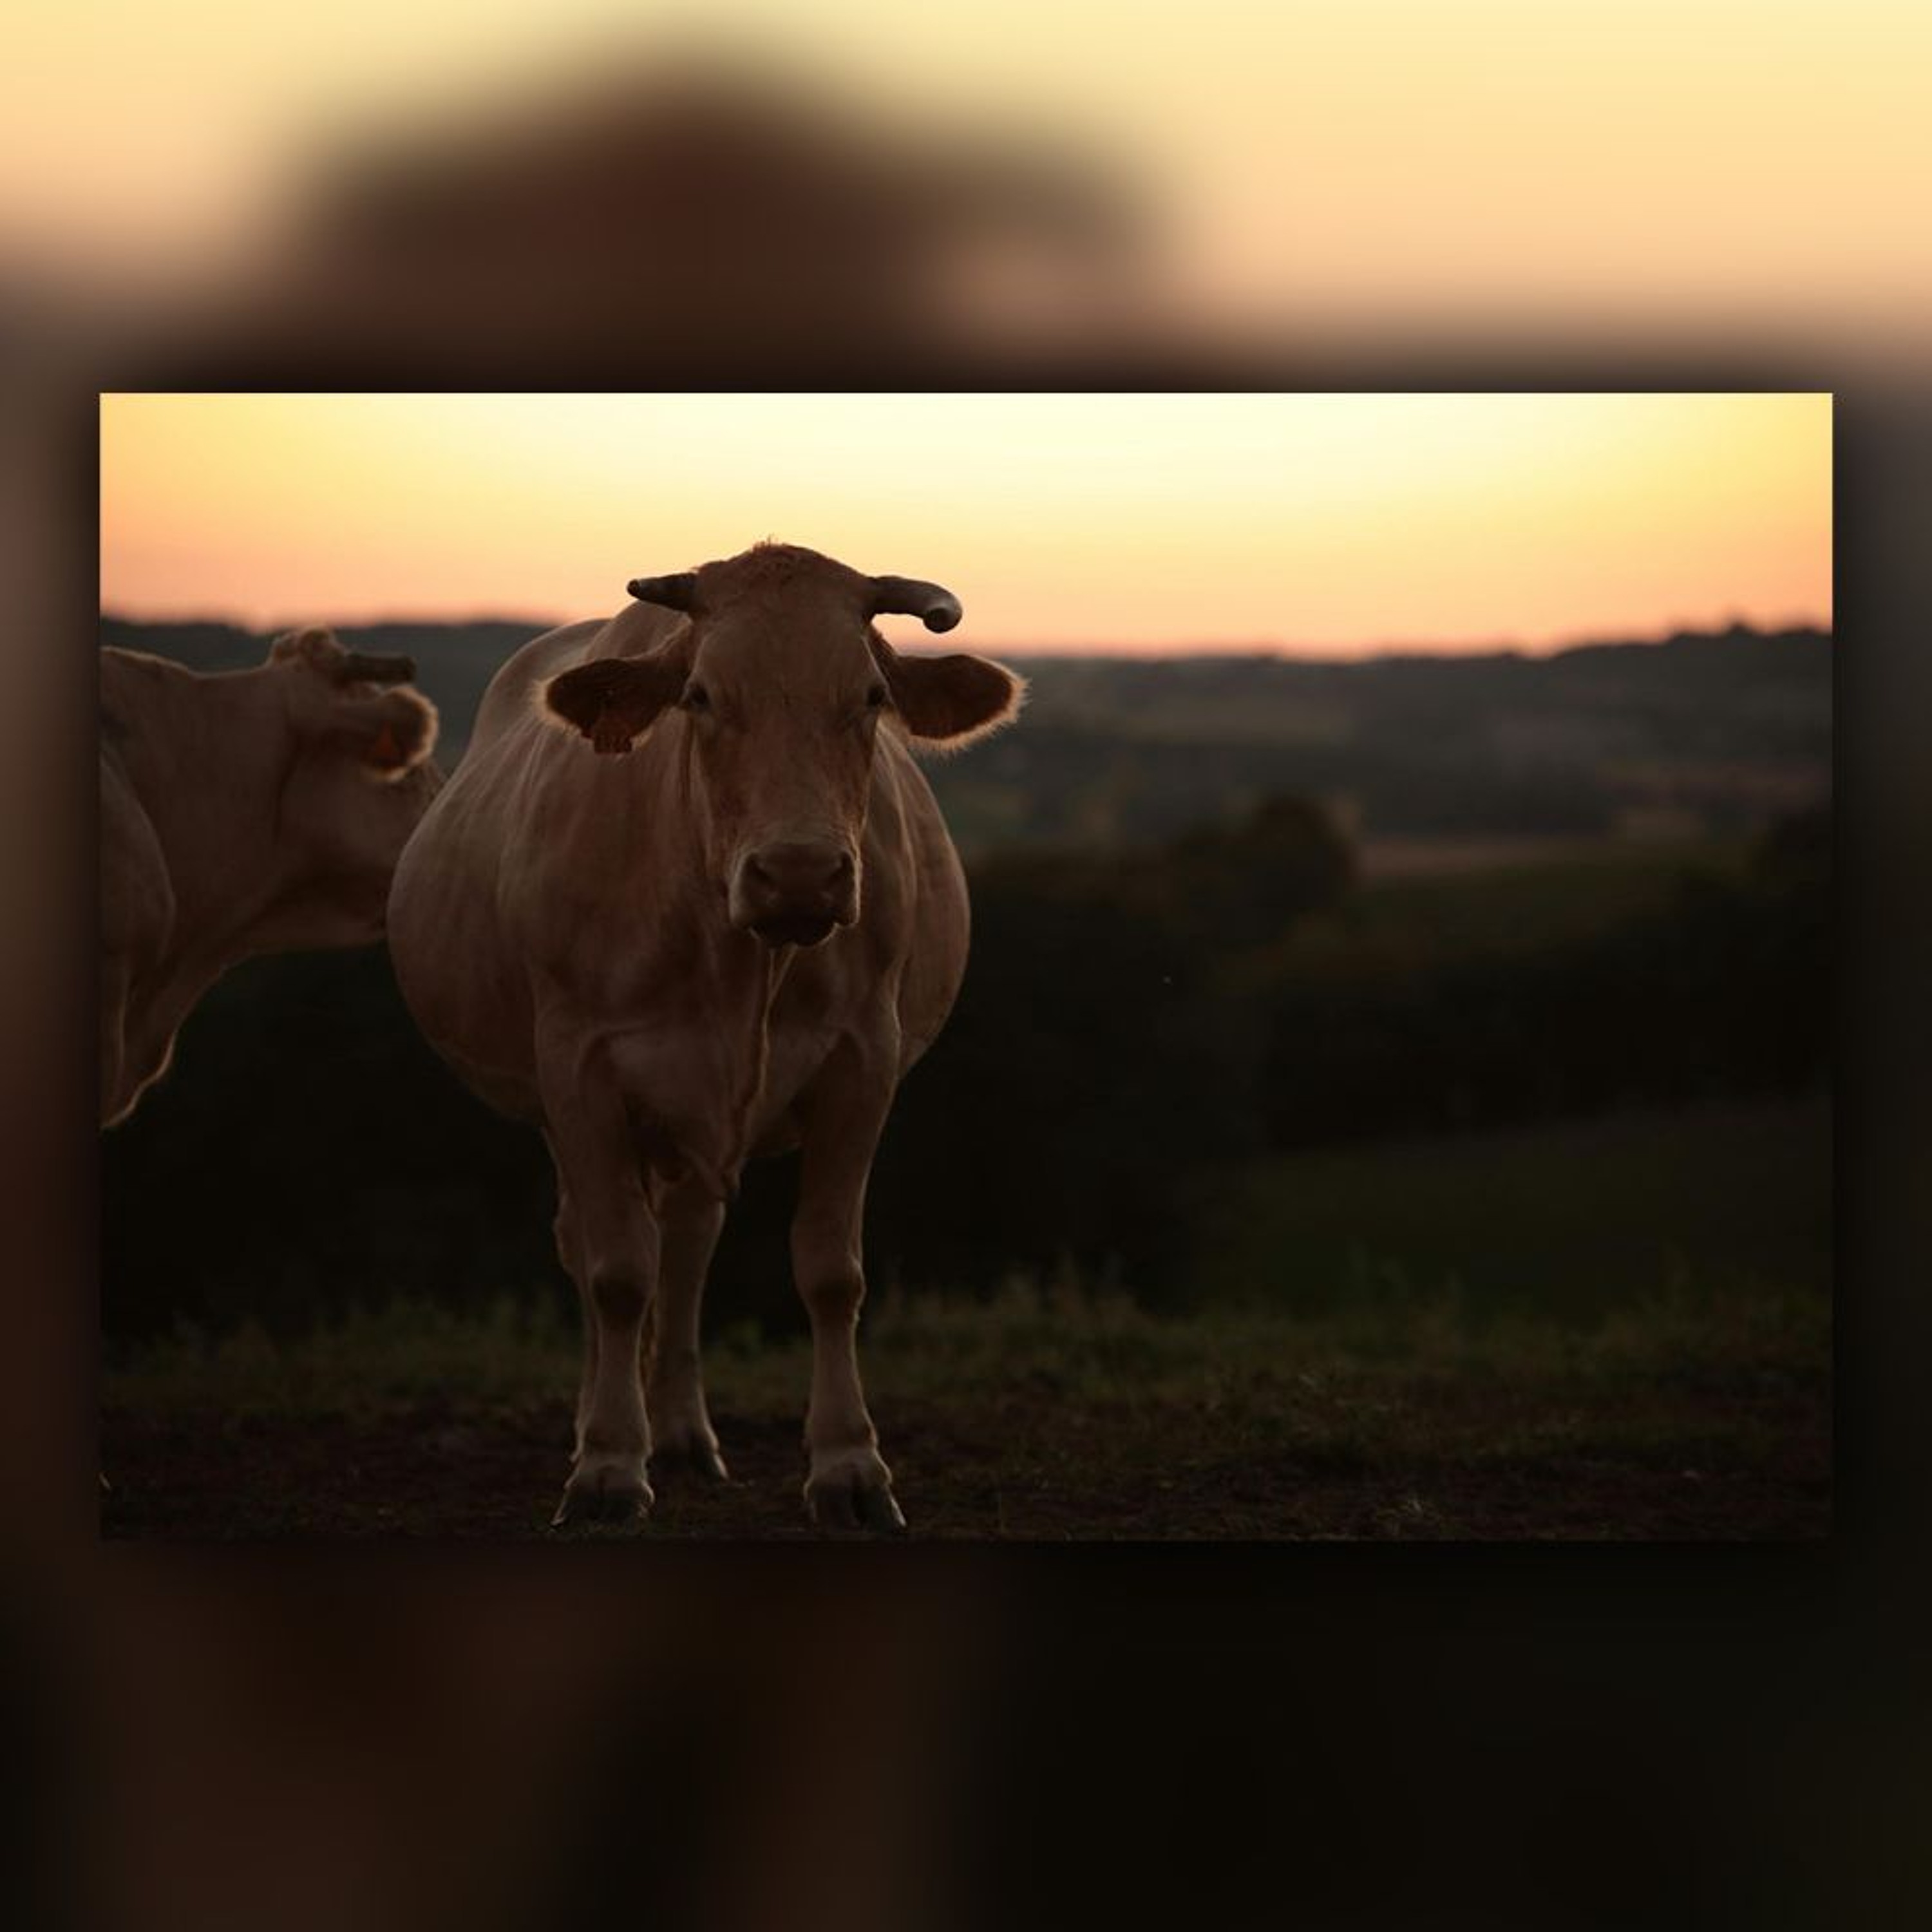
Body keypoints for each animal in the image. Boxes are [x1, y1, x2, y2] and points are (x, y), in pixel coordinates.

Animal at [386, 542, 1023, 1531]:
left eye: (871, 695)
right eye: (701, 696)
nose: (799, 873)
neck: (736, 956)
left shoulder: (862, 1065)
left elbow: (830, 1271)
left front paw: (850, 1466)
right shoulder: (579, 1072)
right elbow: (615, 1272)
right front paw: (609, 1464)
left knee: (686, 1244)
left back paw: (682, 1434)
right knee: (593, 1246)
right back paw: (605, 1424)